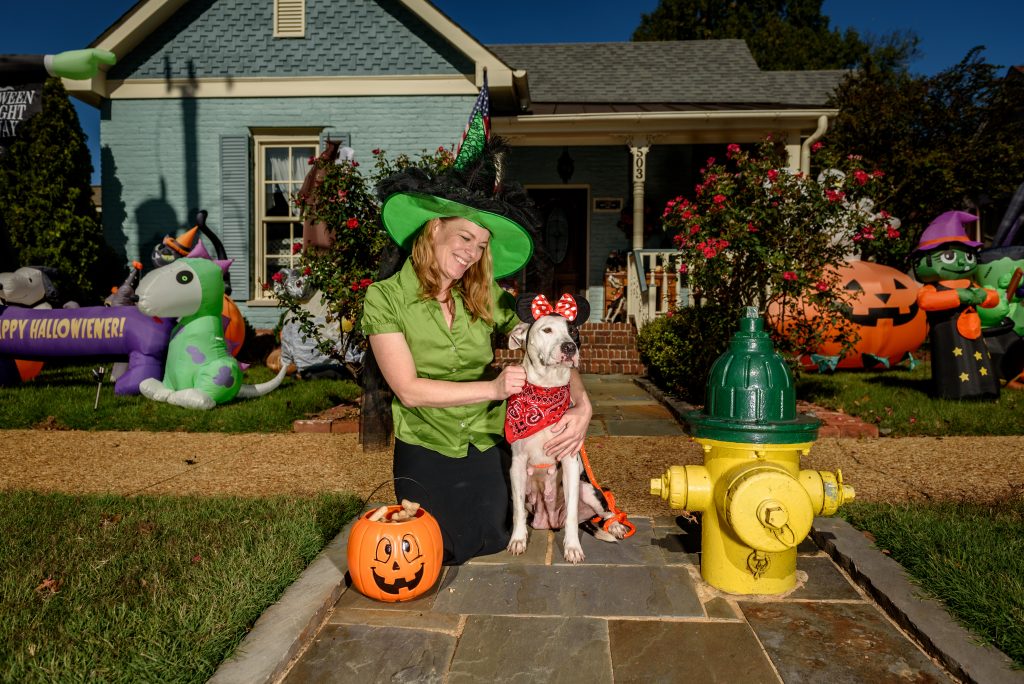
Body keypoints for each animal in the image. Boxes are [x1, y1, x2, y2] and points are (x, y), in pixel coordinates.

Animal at [505, 290, 630, 565]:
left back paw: (615, 525)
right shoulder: (516, 465)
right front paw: (517, 540)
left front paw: (572, 547)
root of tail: (551, 522)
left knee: (605, 512)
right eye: (547, 330)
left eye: (573, 331)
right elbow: (517, 510)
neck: (546, 392)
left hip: (589, 488)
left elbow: (573, 513)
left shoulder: (571, 462)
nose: (569, 347)